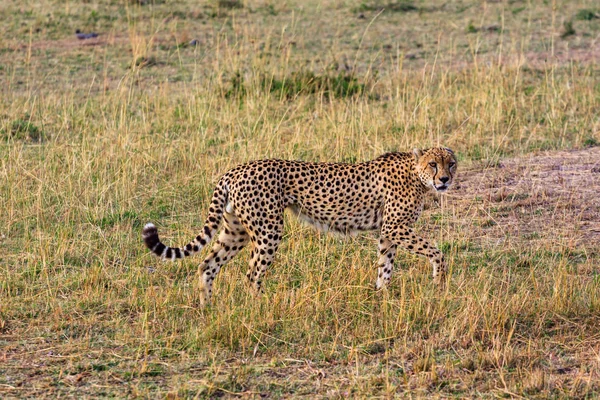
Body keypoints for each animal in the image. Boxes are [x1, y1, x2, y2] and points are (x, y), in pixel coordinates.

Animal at [143, 147, 458, 304]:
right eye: (433, 164)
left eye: (451, 163)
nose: (445, 179)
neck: (415, 174)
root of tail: (233, 170)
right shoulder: (395, 227)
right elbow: (437, 252)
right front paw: (439, 283)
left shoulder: (388, 232)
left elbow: (385, 265)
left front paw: (381, 296)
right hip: (268, 230)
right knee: (252, 273)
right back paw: (262, 306)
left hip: (237, 230)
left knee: (208, 264)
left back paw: (206, 307)